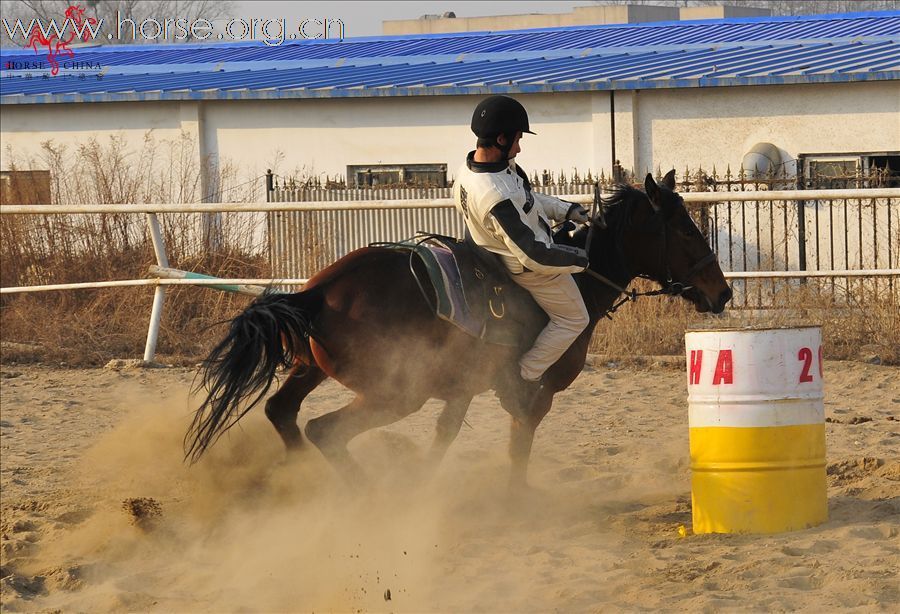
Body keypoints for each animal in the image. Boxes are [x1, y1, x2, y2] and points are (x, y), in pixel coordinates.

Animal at [185, 171, 732, 488]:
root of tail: (318, 292)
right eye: (685, 230)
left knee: (282, 412)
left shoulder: (465, 390)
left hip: (310, 369)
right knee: (324, 430)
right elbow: (516, 442)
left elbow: (446, 437)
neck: (581, 280)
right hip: (396, 393)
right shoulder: (532, 393)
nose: (723, 292)